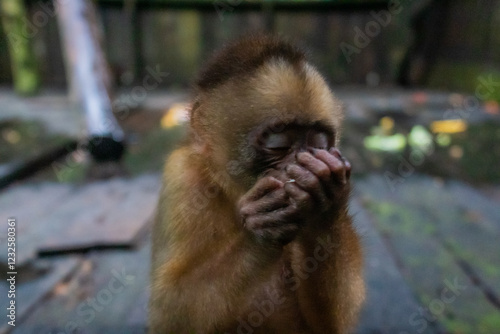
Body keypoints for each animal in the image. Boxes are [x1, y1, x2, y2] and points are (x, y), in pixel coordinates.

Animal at [148, 34, 364, 334]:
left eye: (317, 143)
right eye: (279, 145)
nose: (301, 162)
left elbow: (326, 327)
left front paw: (325, 206)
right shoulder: (181, 177)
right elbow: (166, 311)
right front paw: (263, 229)